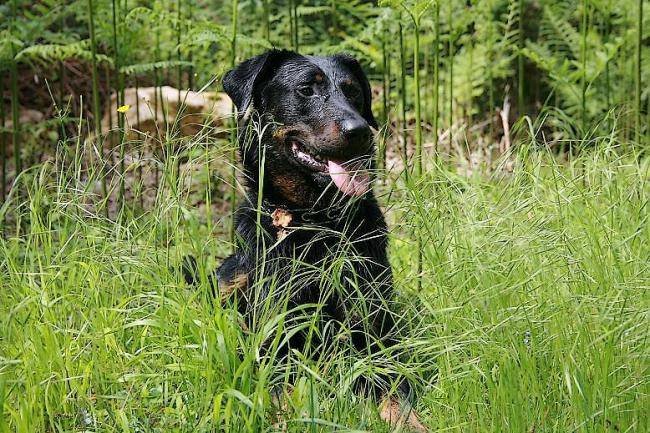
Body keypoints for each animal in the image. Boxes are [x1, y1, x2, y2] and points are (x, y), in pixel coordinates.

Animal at [215, 49, 426, 431]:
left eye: (353, 91)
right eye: (306, 90)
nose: (359, 131)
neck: (315, 222)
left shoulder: (376, 331)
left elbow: (396, 394)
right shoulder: (276, 336)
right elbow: (279, 393)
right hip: (233, 275)